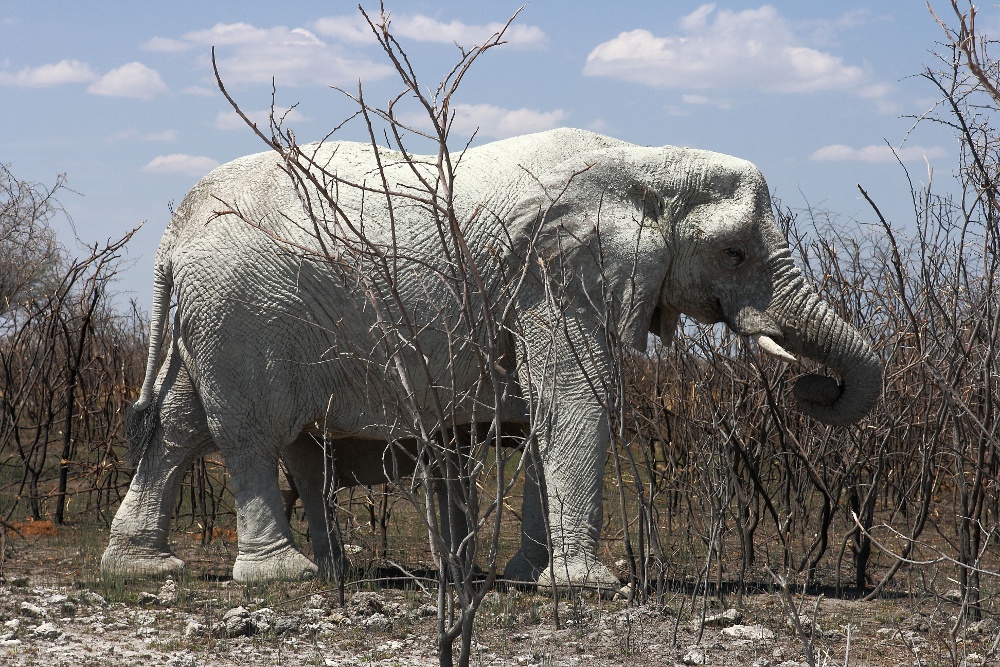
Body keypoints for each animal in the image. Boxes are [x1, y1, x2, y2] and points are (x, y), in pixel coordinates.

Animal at [101, 128, 884, 588]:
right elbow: (577, 398)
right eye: (734, 252)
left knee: (182, 424)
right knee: (251, 432)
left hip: (214, 315)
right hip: (242, 312)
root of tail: (175, 231)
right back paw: (281, 577)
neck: (644, 161)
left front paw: (526, 577)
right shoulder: (557, 276)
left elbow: (548, 411)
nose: (813, 387)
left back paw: (146, 564)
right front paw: (588, 587)